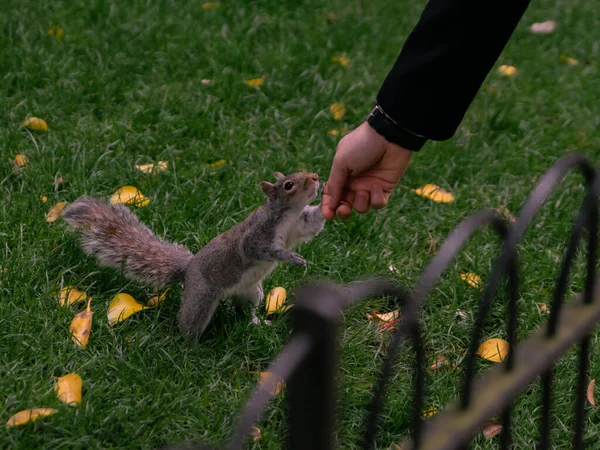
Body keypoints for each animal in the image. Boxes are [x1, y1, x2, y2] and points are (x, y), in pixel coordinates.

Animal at [62, 172, 326, 338]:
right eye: (289, 185)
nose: (315, 177)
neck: (288, 213)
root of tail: (187, 270)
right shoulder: (257, 235)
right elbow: (260, 250)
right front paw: (290, 257)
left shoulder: (299, 226)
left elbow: (313, 226)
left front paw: (328, 202)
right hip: (200, 299)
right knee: (189, 324)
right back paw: (190, 350)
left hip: (251, 291)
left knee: (243, 310)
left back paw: (256, 322)